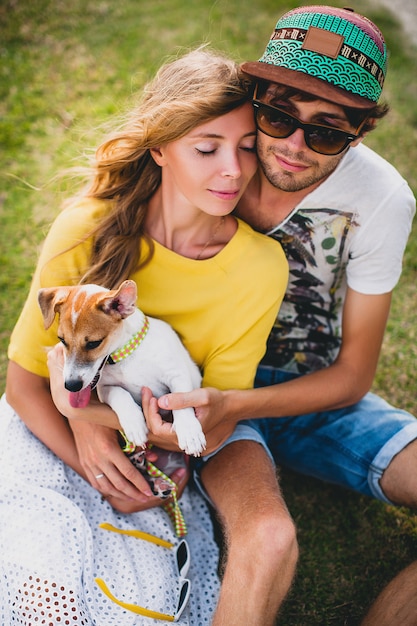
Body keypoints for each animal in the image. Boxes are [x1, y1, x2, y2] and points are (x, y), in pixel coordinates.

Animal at [38, 280, 206, 456]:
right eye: (62, 340)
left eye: (94, 343)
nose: (71, 386)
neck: (125, 357)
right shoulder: (105, 388)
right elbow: (120, 394)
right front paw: (134, 423)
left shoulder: (177, 373)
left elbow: (180, 400)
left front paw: (189, 432)